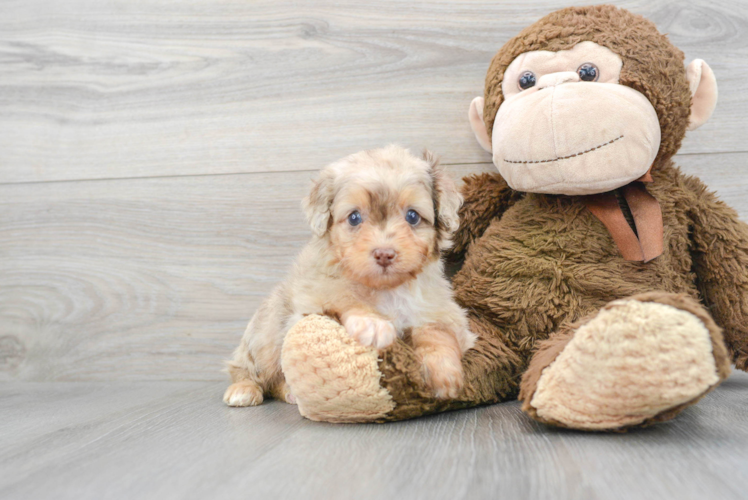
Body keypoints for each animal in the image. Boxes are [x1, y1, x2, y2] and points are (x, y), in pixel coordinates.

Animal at [225, 144, 476, 406]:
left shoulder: (442, 309)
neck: (387, 290)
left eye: (413, 216)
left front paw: (444, 371)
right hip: (266, 333)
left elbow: (438, 331)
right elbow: (343, 296)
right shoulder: (313, 297)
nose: (384, 254)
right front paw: (372, 323)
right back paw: (244, 389)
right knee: (248, 367)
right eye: (354, 217)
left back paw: (288, 391)